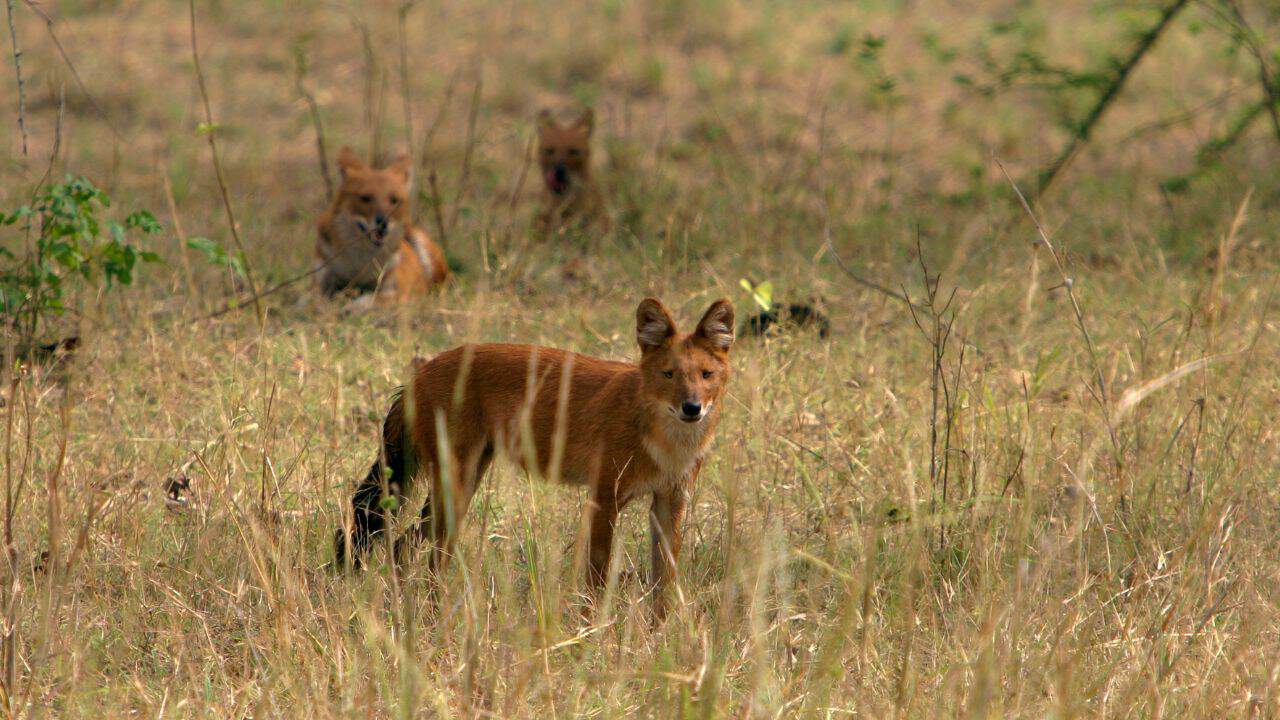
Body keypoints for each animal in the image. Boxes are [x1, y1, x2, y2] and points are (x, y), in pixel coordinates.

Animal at [315, 147, 447, 305]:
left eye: (394, 200)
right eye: (365, 198)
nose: (383, 222)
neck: (360, 261)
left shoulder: (399, 291)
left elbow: (371, 298)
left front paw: (350, 305)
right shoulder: (320, 283)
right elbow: (311, 300)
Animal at [334, 297, 735, 619]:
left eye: (706, 375)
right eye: (668, 374)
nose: (692, 408)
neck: (663, 442)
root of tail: (421, 371)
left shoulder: (670, 502)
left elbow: (664, 581)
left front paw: (660, 635)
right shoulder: (604, 497)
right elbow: (597, 578)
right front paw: (592, 633)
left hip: (463, 483)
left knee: (404, 545)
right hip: (456, 487)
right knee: (420, 551)